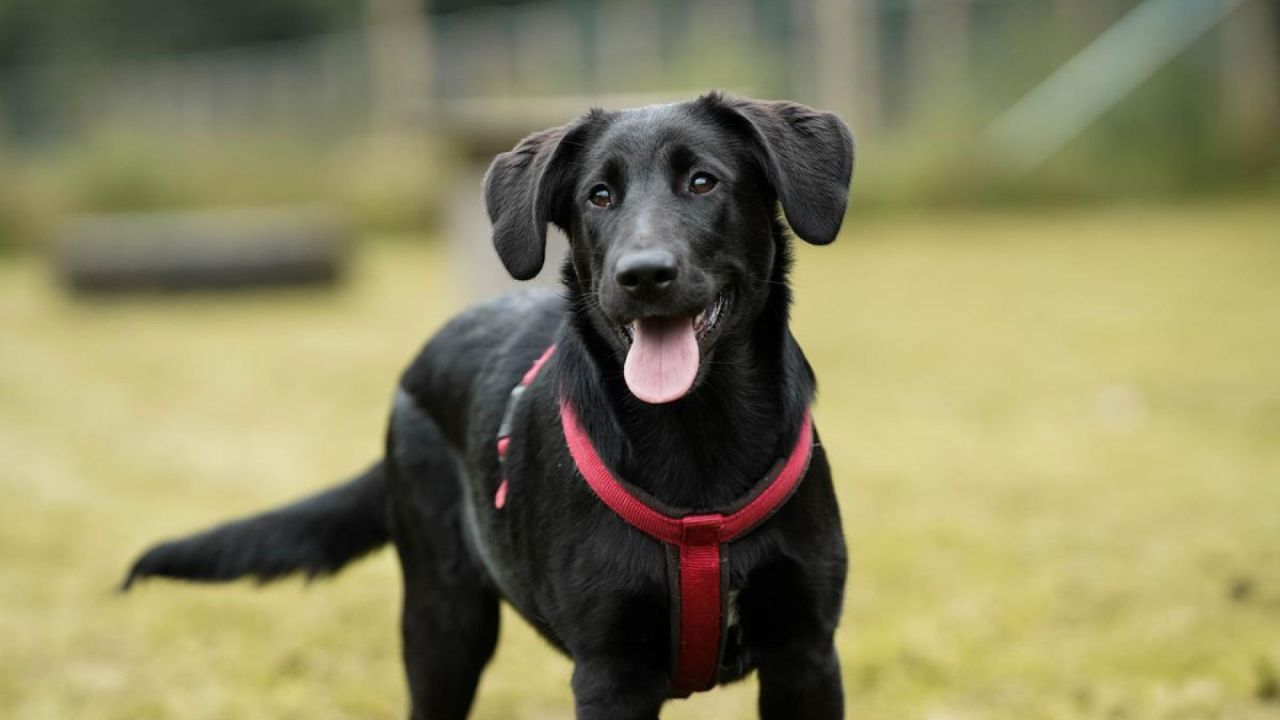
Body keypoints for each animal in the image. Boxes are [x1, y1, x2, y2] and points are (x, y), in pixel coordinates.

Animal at [127, 90, 849, 717]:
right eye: (599, 196)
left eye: (703, 182)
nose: (643, 275)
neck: (698, 436)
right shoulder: (610, 674)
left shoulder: (806, 655)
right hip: (443, 624)